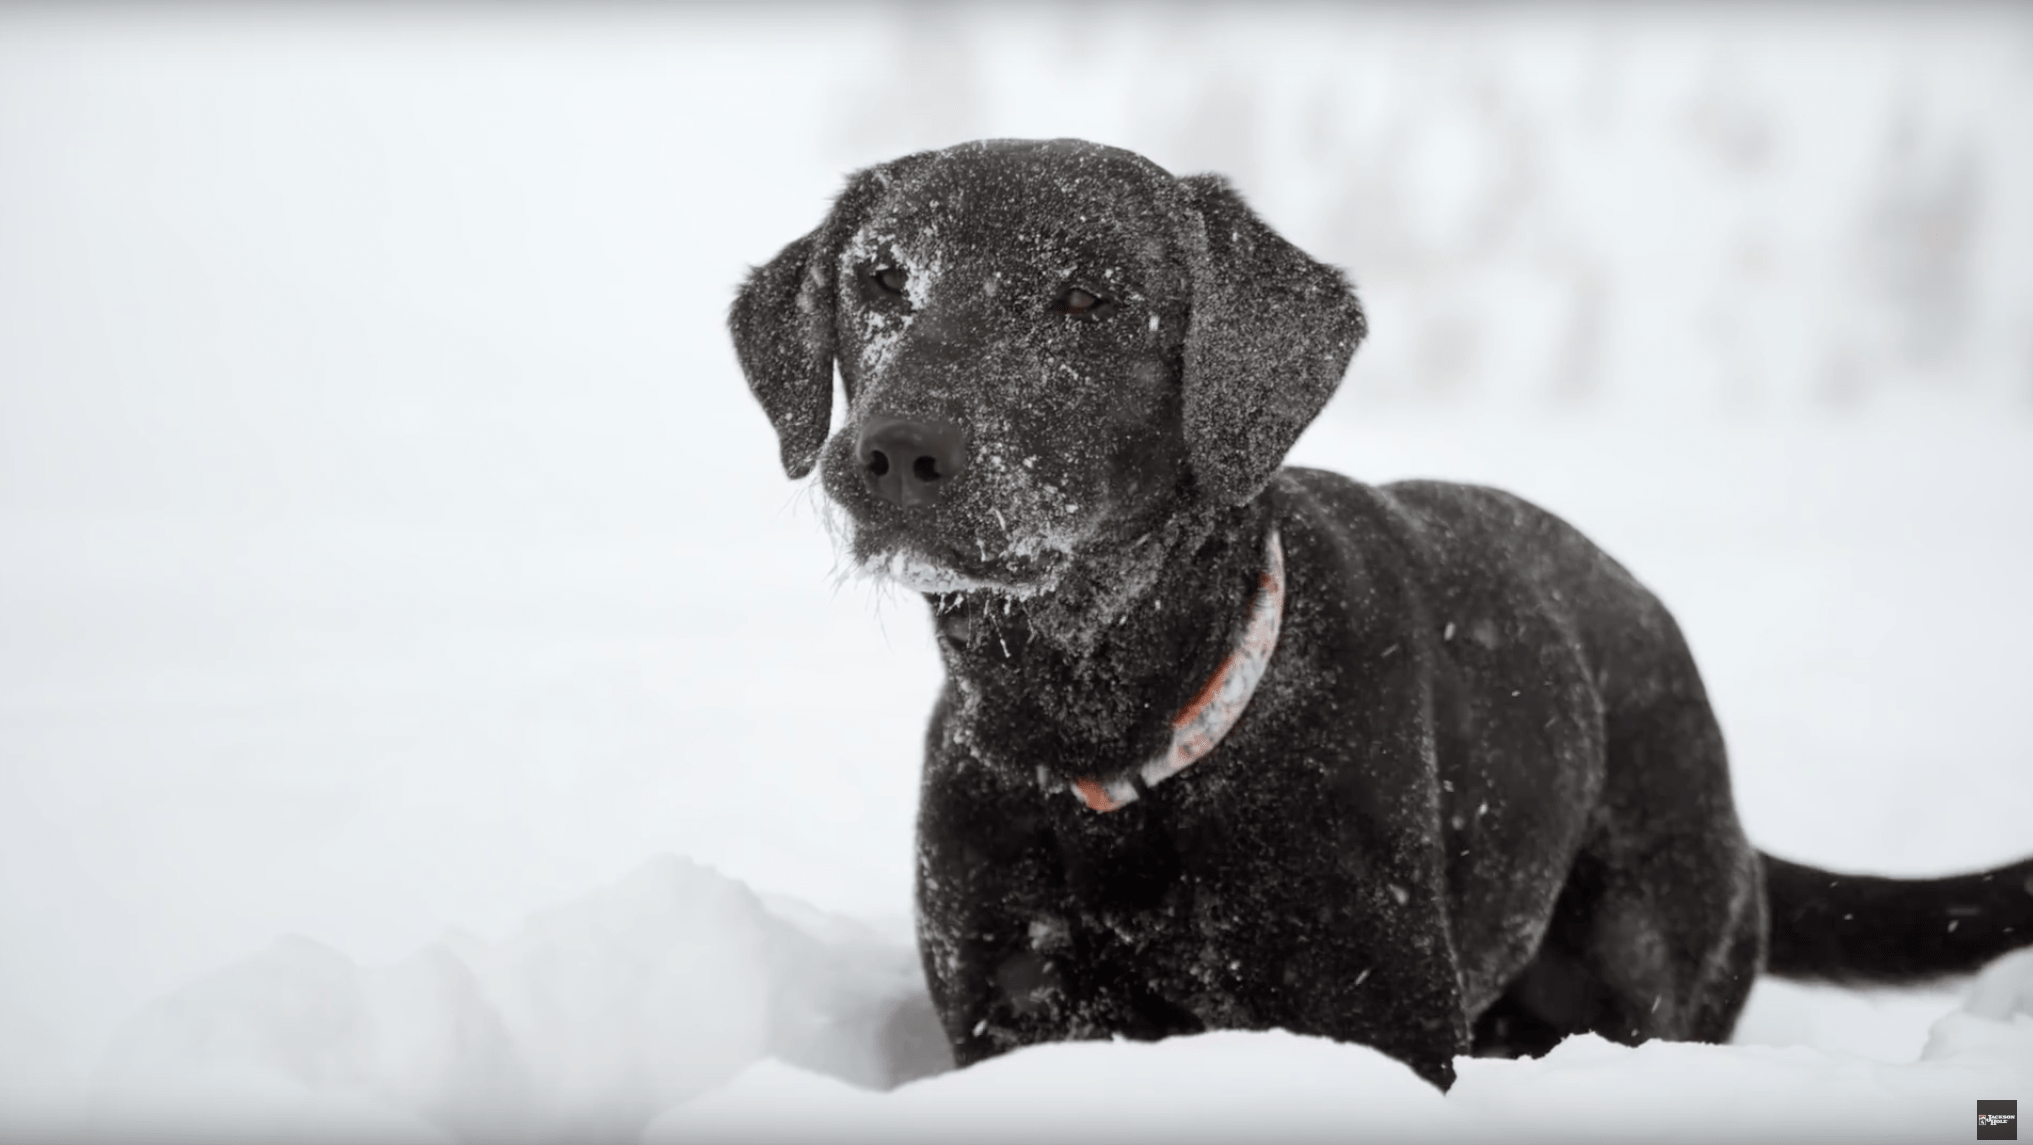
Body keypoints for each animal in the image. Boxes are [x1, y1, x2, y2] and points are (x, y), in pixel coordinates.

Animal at [731, 139, 2033, 1090]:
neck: (1111, 724)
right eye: (879, 281)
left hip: (1651, 968)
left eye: (1089, 297)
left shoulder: (1375, 1021)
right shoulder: (1011, 1006)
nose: (894, 450)